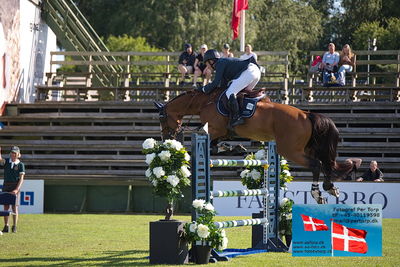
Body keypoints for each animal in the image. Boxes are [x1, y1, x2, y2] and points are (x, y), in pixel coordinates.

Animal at [153, 88, 354, 205]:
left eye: (161, 118)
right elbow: (216, 146)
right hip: (305, 148)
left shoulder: (215, 129)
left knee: (316, 164)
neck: (204, 101)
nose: (166, 137)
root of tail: (306, 115)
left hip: (290, 150)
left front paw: (234, 148)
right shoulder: (220, 132)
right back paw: (331, 187)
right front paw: (236, 149)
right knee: (325, 163)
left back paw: (317, 193)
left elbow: (211, 145)